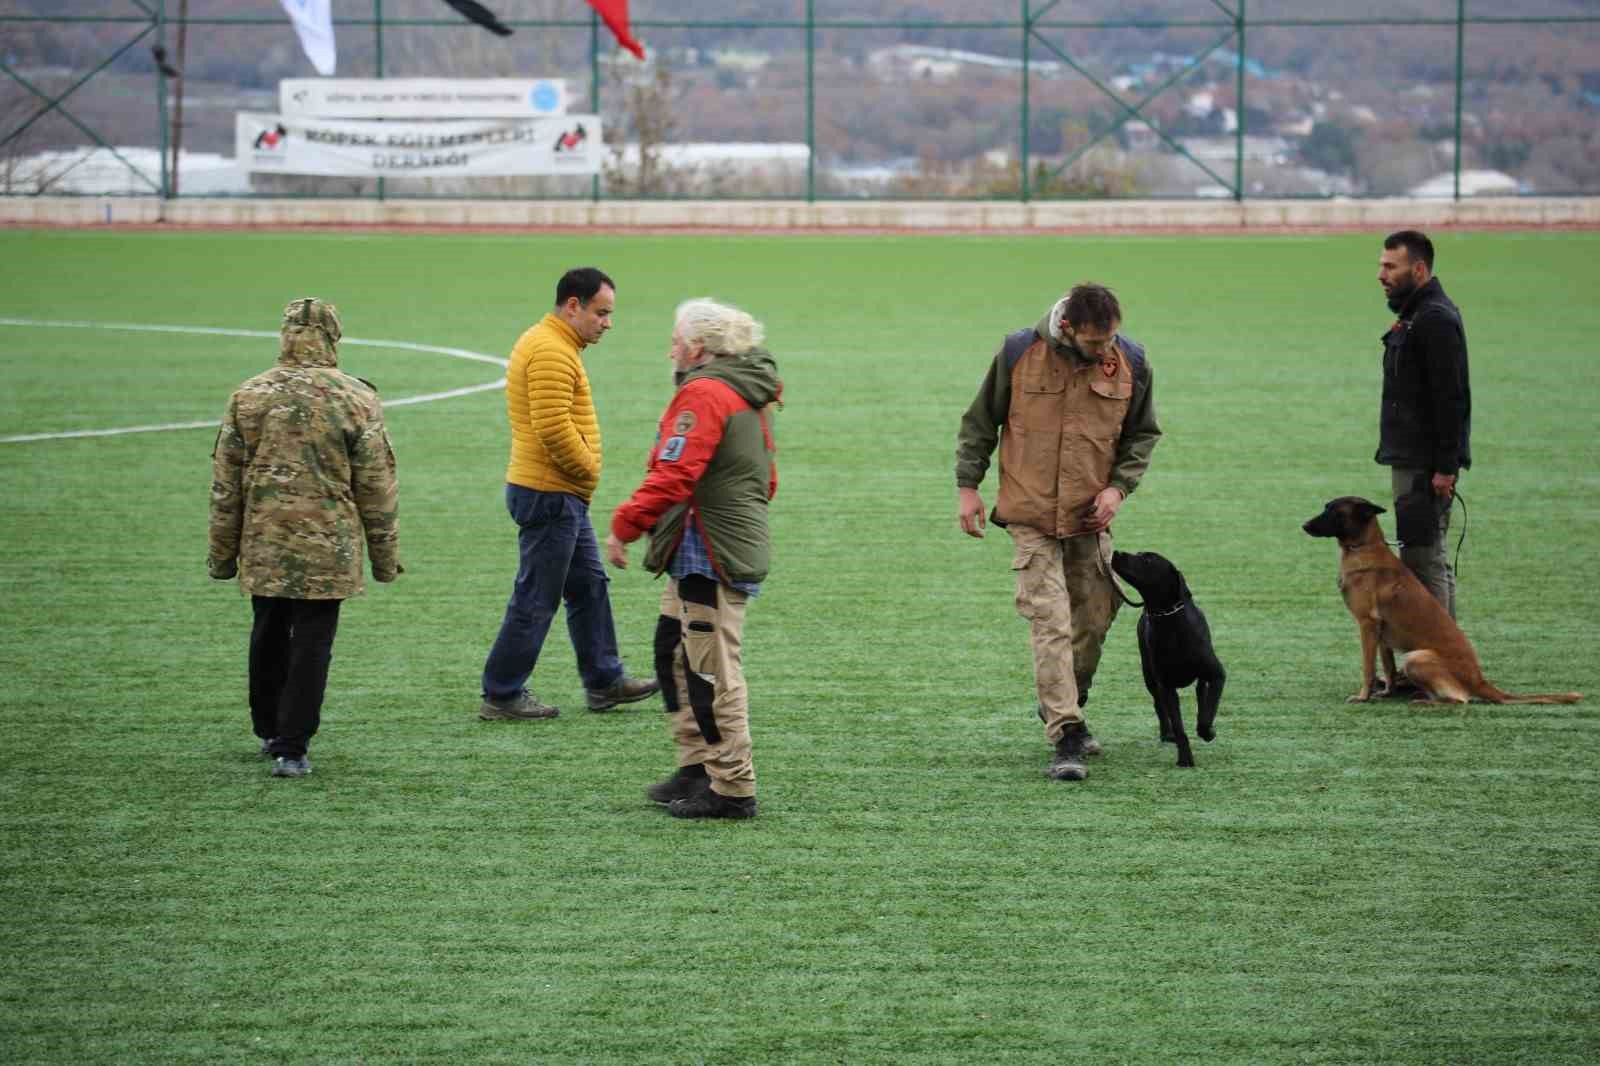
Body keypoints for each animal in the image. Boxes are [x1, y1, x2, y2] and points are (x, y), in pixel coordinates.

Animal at [1113, 547, 1222, 765]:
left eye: (1148, 559)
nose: (1116, 552)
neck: (1169, 620)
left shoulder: (1217, 674)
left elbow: (1207, 714)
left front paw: (1207, 733)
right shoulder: (1166, 685)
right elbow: (1178, 725)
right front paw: (1185, 758)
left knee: (1201, 692)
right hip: (1149, 675)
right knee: (1159, 705)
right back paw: (1166, 733)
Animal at [1305, 499, 1580, 704]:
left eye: (1335, 513)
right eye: (1325, 507)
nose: (1304, 525)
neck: (1363, 547)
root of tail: (1479, 679)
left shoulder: (1367, 625)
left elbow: (1368, 667)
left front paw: (1364, 696)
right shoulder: (1381, 634)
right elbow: (1388, 667)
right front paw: (1386, 692)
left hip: (1416, 657)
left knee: (1460, 699)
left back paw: (1424, 701)